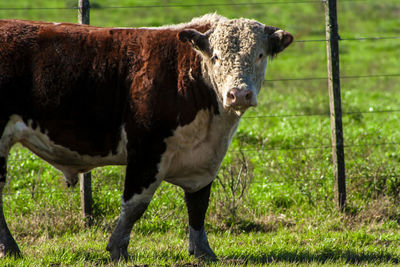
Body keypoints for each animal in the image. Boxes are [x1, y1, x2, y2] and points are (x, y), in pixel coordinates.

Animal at [0, 14, 292, 262]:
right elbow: (134, 205)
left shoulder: (205, 159)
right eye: (217, 57)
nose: (239, 94)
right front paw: (118, 249)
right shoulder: (146, 149)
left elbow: (199, 205)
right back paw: (10, 249)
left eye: (260, 55)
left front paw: (203, 252)